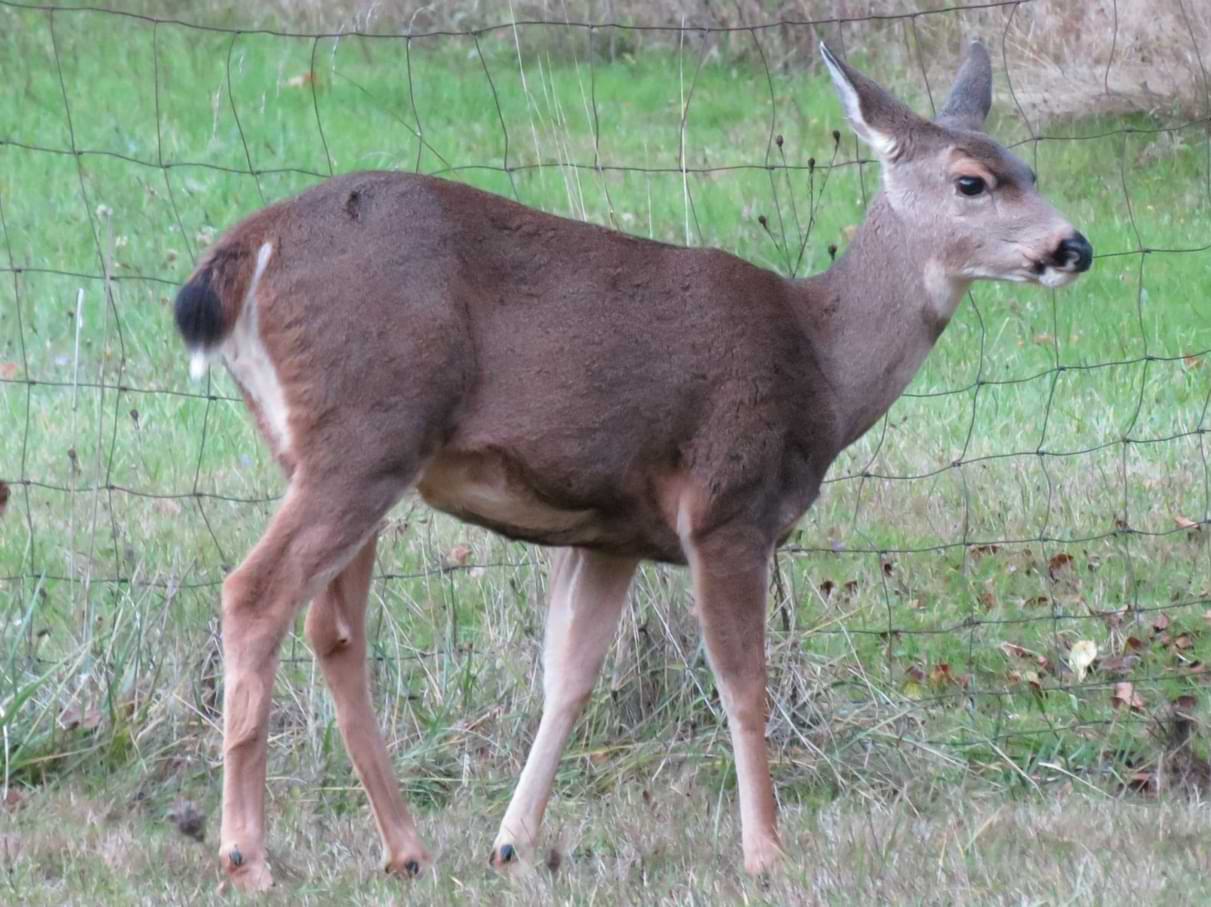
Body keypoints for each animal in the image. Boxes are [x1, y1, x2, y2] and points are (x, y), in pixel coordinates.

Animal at [173, 40, 1092, 891]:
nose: (1072, 245)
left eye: (1030, 168)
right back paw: (246, 855)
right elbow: (742, 682)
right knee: (254, 592)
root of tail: (246, 249)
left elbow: (568, 676)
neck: (822, 365)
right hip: (368, 429)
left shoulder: (610, 530)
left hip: (329, 446)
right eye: (972, 181)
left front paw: (512, 842)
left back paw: (404, 849)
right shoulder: (727, 504)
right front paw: (766, 853)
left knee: (333, 628)